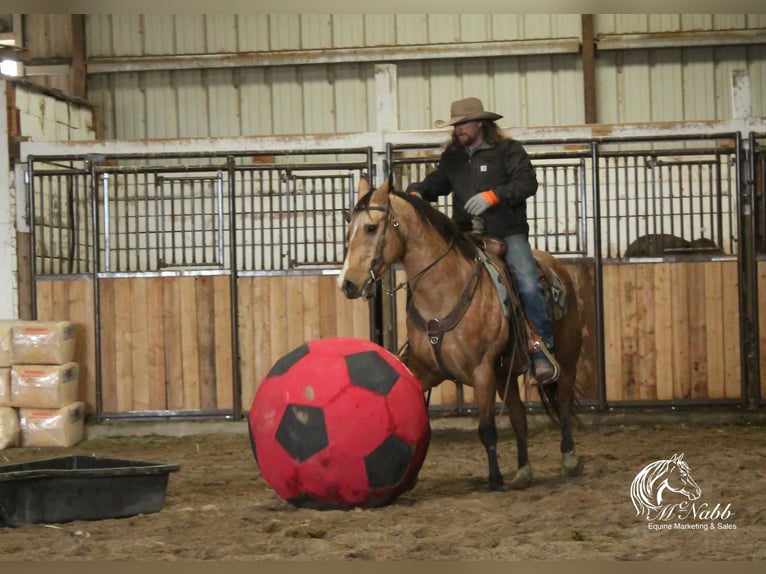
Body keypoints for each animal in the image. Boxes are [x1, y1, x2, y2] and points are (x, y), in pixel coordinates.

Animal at [340, 178, 584, 492]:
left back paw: (569, 458)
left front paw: (494, 478)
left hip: (566, 358)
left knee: (563, 402)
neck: (443, 293)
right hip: (505, 373)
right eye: (349, 229)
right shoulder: (425, 370)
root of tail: (555, 267)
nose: (347, 283)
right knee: (519, 417)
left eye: (371, 228)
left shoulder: (482, 371)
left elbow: (487, 429)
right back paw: (523, 471)